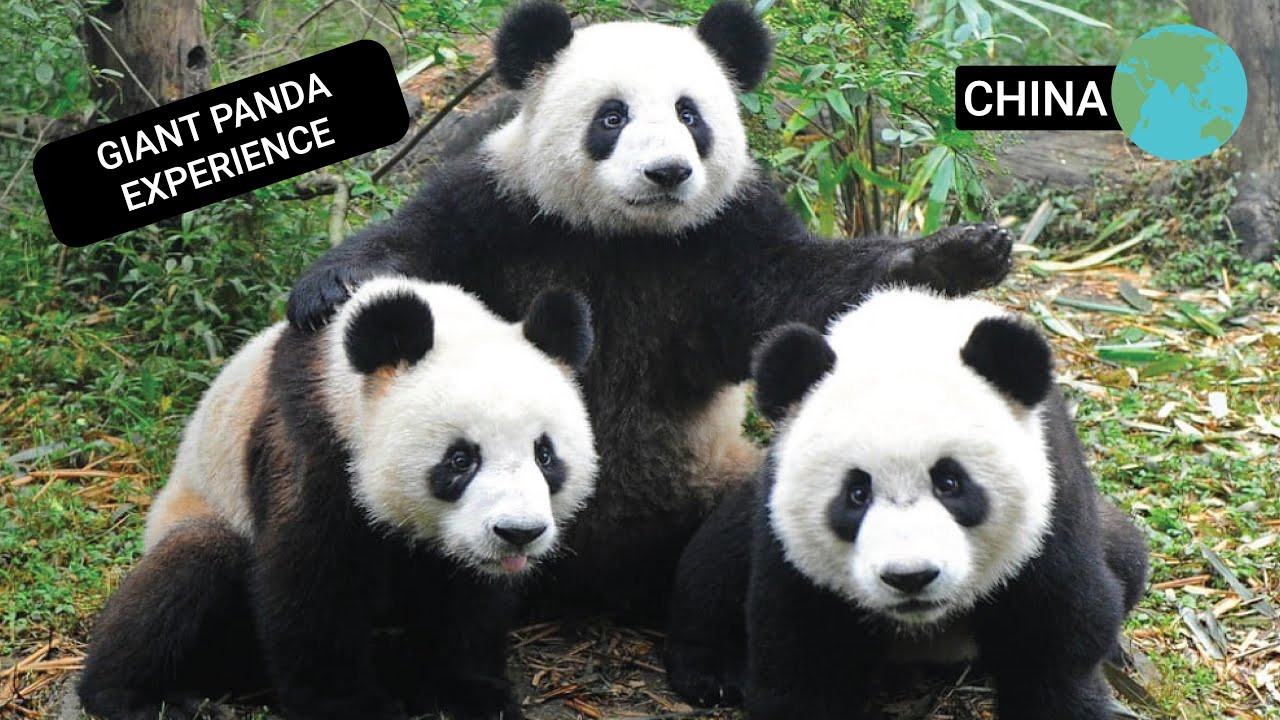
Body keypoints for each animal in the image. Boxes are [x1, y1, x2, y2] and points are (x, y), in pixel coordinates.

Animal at [78, 278, 598, 720]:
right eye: (460, 459)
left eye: (545, 455)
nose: (518, 532)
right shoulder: (312, 439)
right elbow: (312, 579)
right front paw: (353, 707)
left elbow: (471, 597)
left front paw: (472, 693)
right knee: (188, 567)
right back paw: (141, 698)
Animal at [283, 0, 1014, 618]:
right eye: (613, 116)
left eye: (691, 115)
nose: (668, 172)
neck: (626, 236)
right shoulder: (501, 211)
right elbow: (418, 247)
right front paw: (327, 290)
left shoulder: (727, 237)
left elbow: (801, 292)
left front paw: (955, 256)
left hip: (713, 475)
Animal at [665, 288, 1149, 720]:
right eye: (857, 493)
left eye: (950, 483)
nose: (910, 577)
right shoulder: (790, 550)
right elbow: (801, 656)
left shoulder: (1051, 514)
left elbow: (1059, 637)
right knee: (714, 565)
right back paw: (711, 673)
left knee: (1128, 556)